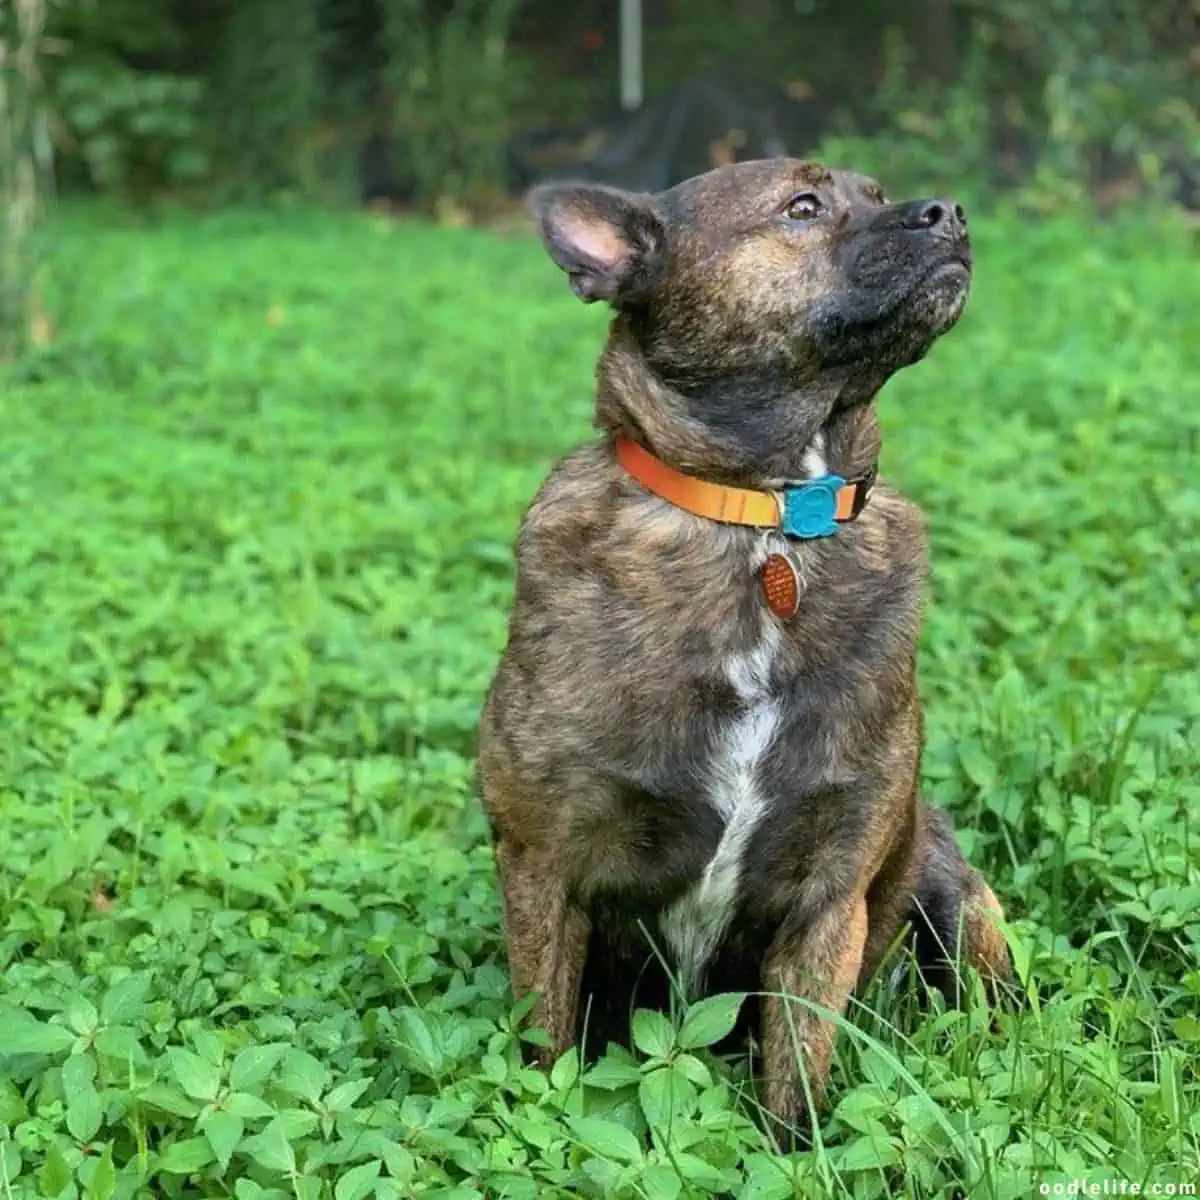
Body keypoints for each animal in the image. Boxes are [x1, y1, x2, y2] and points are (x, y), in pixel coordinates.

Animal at [472, 157, 1008, 1132]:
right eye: (802, 207)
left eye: (878, 195)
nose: (949, 212)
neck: (766, 519)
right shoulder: (544, 870)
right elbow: (546, 1058)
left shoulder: (827, 904)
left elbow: (796, 1083)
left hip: (960, 899)